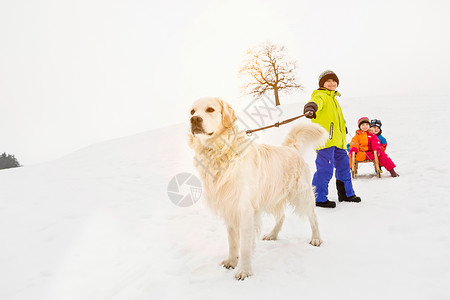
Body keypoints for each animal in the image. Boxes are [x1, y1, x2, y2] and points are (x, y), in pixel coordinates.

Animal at [188, 97, 328, 280]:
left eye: (210, 109)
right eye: (192, 112)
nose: (194, 120)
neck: (220, 152)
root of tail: (290, 148)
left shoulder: (245, 209)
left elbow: (244, 246)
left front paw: (244, 271)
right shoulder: (229, 206)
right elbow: (232, 242)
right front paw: (231, 261)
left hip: (301, 195)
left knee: (313, 217)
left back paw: (316, 239)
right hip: (272, 196)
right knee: (282, 215)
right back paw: (273, 235)